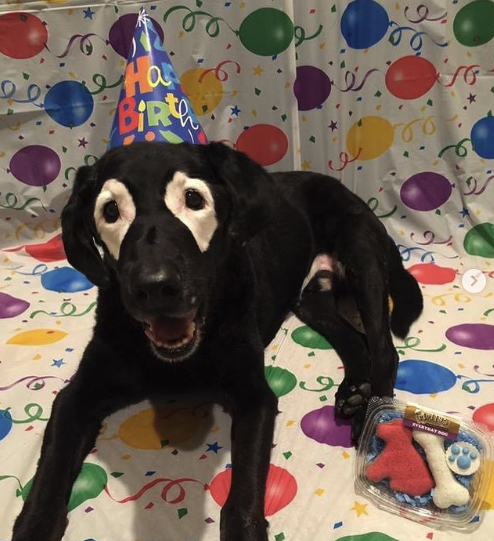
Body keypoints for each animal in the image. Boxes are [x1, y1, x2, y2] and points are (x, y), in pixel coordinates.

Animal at [10, 142, 420, 540]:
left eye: (193, 199)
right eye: (110, 210)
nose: (155, 286)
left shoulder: (255, 398)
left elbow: (244, 494)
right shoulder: (75, 398)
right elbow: (47, 480)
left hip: (360, 253)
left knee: (385, 349)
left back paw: (370, 416)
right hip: (309, 298)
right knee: (353, 337)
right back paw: (354, 392)